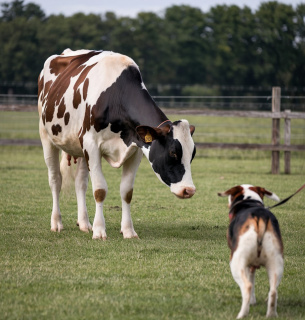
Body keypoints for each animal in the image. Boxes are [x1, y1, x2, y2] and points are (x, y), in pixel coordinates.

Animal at [38, 48, 196, 240]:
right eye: (173, 152)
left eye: (192, 155)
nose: (189, 190)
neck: (115, 97)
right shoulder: (91, 144)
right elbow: (99, 190)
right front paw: (99, 231)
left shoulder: (135, 148)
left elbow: (126, 191)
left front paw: (128, 230)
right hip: (47, 137)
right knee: (55, 180)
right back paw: (57, 223)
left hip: (80, 147)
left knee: (80, 183)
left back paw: (84, 223)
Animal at [216, 184, 282, 318]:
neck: (250, 201)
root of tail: (260, 216)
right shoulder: (252, 265)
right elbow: (252, 278)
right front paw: (253, 301)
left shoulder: (245, 264)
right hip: (276, 263)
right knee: (273, 291)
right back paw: (271, 315)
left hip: (236, 262)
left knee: (247, 286)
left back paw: (242, 314)